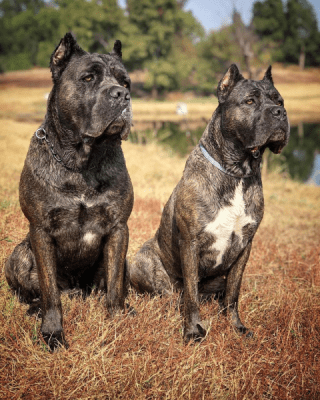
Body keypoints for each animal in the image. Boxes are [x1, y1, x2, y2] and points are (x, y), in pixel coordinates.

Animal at [5, 32, 134, 348]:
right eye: (88, 78)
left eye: (125, 82)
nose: (122, 95)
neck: (81, 163)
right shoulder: (40, 230)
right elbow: (50, 291)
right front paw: (53, 332)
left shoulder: (118, 228)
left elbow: (115, 284)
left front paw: (116, 322)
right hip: (17, 256)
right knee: (36, 292)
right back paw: (34, 309)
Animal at [128, 64, 290, 342]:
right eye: (250, 101)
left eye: (279, 100)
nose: (280, 112)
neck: (236, 172)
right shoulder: (191, 243)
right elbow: (192, 296)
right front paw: (193, 330)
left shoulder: (245, 245)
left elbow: (233, 293)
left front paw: (237, 327)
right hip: (142, 262)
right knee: (174, 294)